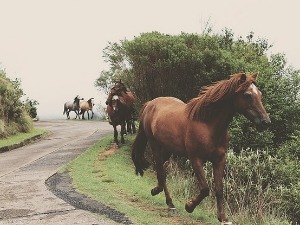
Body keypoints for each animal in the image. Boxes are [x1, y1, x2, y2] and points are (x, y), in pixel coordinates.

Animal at [131, 73, 270, 222]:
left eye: (260, 94)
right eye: (248, 95)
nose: (265, 122)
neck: (207, 125)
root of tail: (150, 104)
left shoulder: (219, 160)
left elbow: (219, 189)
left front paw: (222, 217)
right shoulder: (196, 159)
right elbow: (205, 189)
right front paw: (189, 206)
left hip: (168, 149)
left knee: (160, 169)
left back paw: (158, 192)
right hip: (155, 145)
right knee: (161, 172)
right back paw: (169, 202)